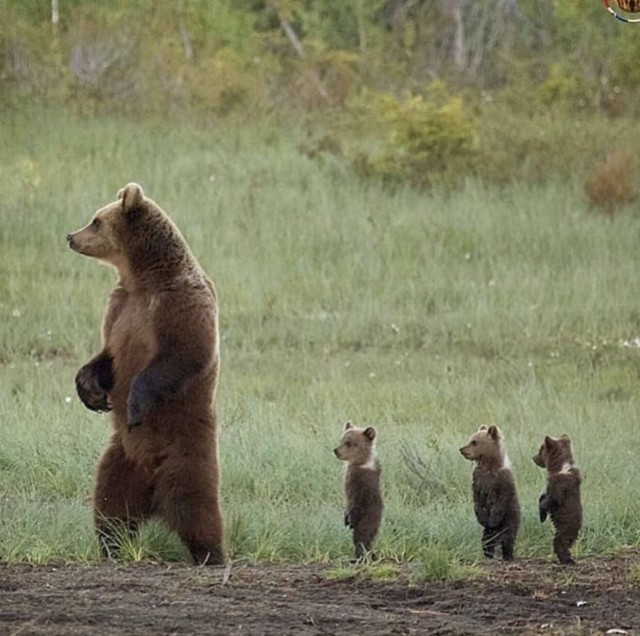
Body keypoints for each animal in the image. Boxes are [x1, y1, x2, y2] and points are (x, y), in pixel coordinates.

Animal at [67, 184, 225, 568]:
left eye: (95, 220)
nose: (71, 236)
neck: (142, 278)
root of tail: (152, 488)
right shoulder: (120, 308)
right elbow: (107, 355)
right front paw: (89, 390)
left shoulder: (177, 303)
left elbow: (183, 353)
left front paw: (135, 404)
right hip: (120, 459)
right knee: (110, 506)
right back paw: (111, 547)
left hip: (186, 451)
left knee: (196, 507)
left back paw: (211, 554)